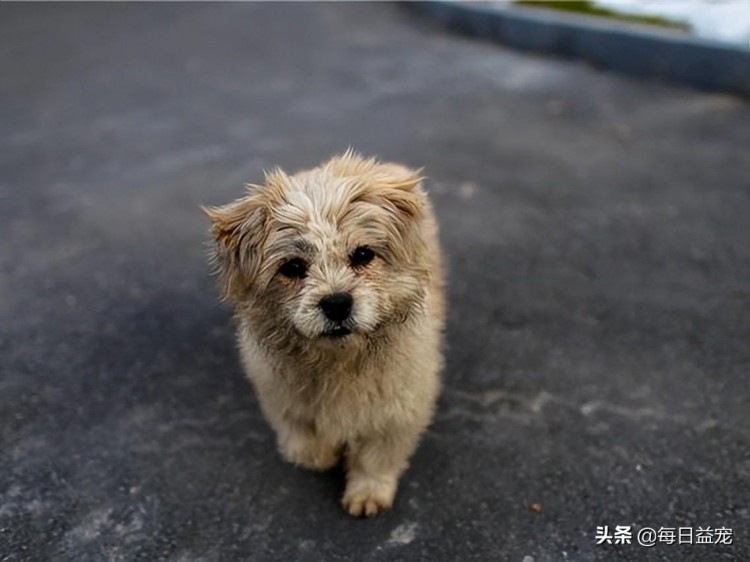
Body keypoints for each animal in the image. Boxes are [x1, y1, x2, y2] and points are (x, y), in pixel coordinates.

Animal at [204, 151, 446, 516]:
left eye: (363, 254)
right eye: (292, 267)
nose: (336, 304)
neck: (339, 362)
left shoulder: (397, 410)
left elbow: (375, 459)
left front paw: (367, 493)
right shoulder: (282, 397)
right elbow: (305, 440)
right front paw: (320, 455)